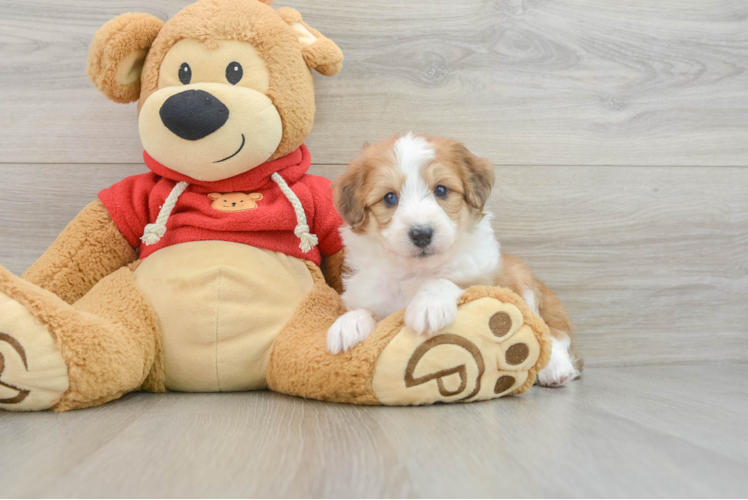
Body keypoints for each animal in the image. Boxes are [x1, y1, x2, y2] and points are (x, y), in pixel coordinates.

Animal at [330, 133, 580, 386]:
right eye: (389, 197)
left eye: (441, 190)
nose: (421, 234)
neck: (417, 271)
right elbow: (367, 309)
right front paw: (348, 324)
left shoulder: (489, 284)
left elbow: (451, 282)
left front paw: (429, 305)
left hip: (522, 279)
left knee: (551, 332)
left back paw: (556, 368)